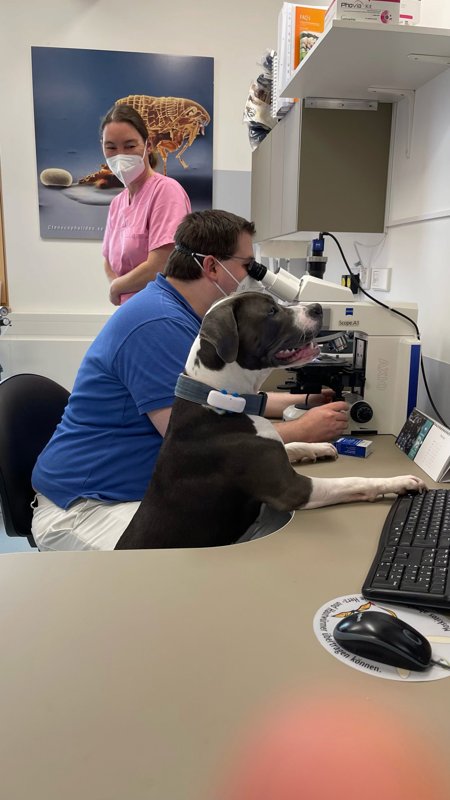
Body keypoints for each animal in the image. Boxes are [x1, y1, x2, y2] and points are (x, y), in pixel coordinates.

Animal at [116, 294, 426, 552]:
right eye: (272, 311)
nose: (316, 307)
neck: (224, 398)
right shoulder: (293, 489)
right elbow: (353, 480)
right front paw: (399, 481)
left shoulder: (273, 448)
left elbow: (290, 444)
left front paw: (319, 447)